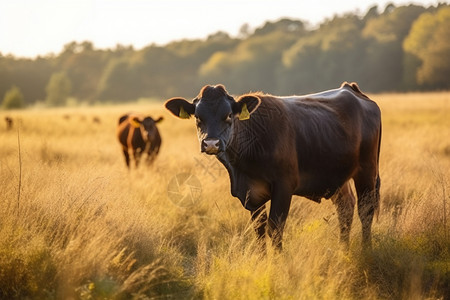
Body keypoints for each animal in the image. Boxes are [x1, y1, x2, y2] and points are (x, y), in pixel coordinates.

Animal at [163, 82, 382, 251]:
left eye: (228, 115)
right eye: (198, 117)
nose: (211, 144)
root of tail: (351, 90)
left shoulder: (284, 186)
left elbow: (275, 229)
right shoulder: (250, 193)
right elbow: (259, 231)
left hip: (367, 170)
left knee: (365, 211)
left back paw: (366, 251)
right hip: (338, 177)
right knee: (345, 209)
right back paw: (343, 250)